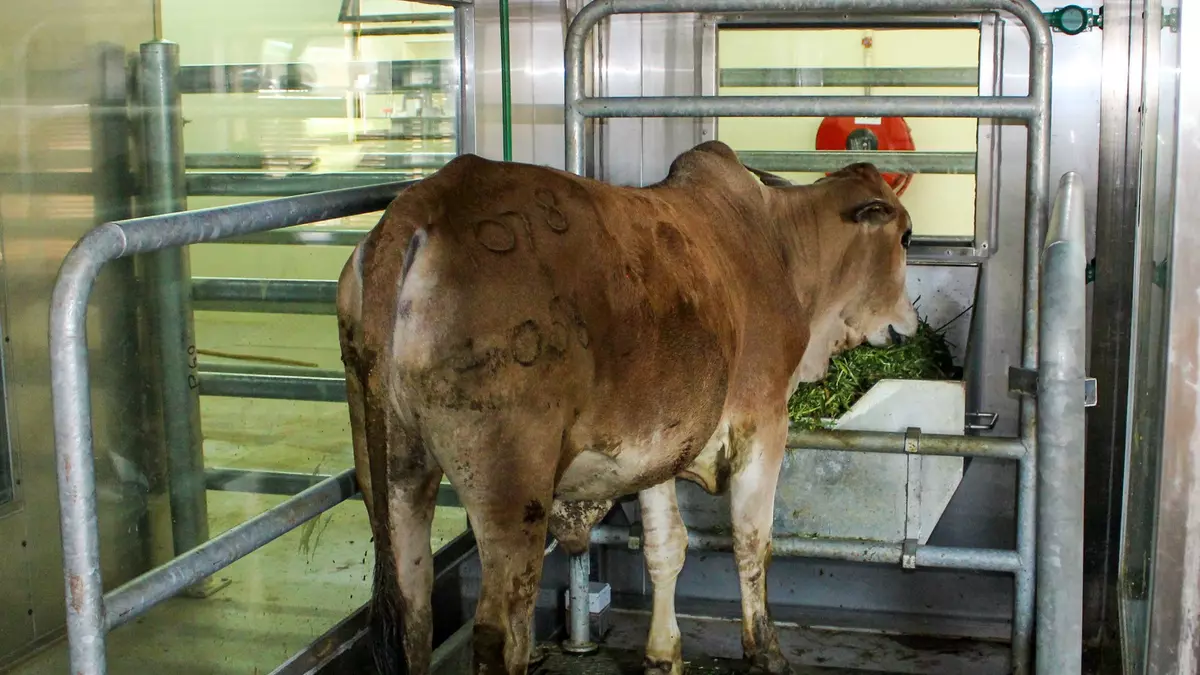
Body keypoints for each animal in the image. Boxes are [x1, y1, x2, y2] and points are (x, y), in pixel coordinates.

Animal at [336, 140, 918, 675]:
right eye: (907, 236)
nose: (910, 323)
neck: (779, 247)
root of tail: (423, 206)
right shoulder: (764, 423)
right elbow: (753, 543)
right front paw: (766, 652)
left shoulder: (661, 447)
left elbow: (666, 548)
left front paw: (663, 656)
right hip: (510, 486)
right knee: (499, 634)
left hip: (395, 473)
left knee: (414, 614)